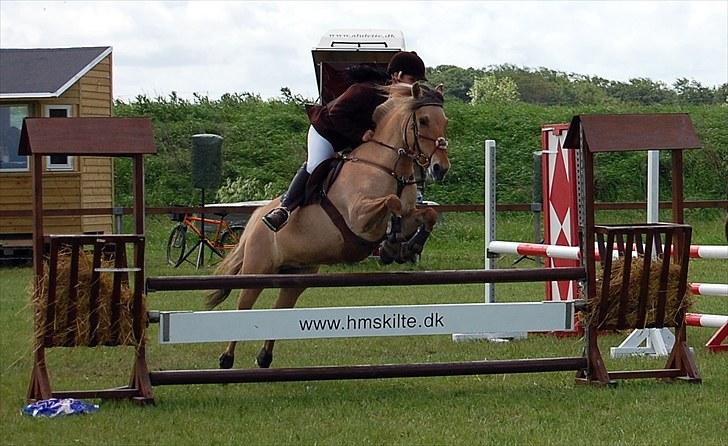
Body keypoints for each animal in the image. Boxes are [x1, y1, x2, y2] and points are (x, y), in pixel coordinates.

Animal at [206, 82, 450, 369]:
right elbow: (393, 202)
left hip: (298, 274)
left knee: (281, 307)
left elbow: (427, 214)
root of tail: (257, 216)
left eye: (444, 121)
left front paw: (407, 246)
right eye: (423, 121)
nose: (441, 168)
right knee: (243, 306)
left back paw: (264, 357)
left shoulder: (411, 212)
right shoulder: (359, 217)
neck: (391, 168)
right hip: (257, 269)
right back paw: (226, 358)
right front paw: (392, 244)